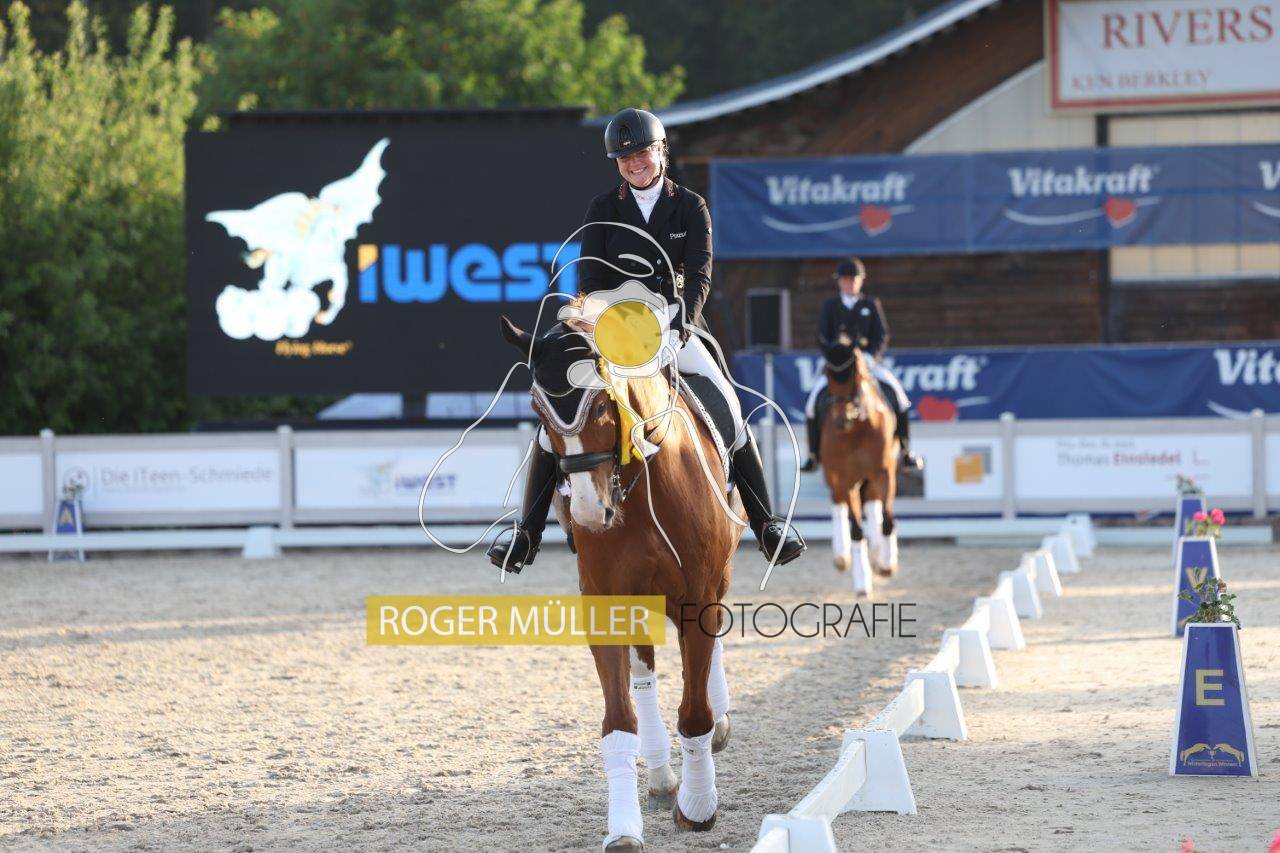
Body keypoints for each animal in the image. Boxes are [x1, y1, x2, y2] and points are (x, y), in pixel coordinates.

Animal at [500, 313, 741, 851]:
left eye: (600, 402)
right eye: (538, 410)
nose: (591, 514)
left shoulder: (697, 597)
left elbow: (694, 709)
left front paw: (698, 808)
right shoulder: (607, 601)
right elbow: (618, 719)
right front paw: (625, 828)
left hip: (716, 577)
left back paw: (717, 730)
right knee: (644, 672)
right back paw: (660, 777)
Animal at [817, 339, 900, 595]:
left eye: (855, 374)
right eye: (827, 374)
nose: (840, 420)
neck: (857, 428)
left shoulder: (884, 472)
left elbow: (887, 519)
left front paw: (887, 563)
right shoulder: (844, 479)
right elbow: (855, 528)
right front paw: (862, 580)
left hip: (871, 478)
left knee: (873, 505)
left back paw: (877, 551)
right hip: (834, 477)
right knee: (838, 503)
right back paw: (841, 556)